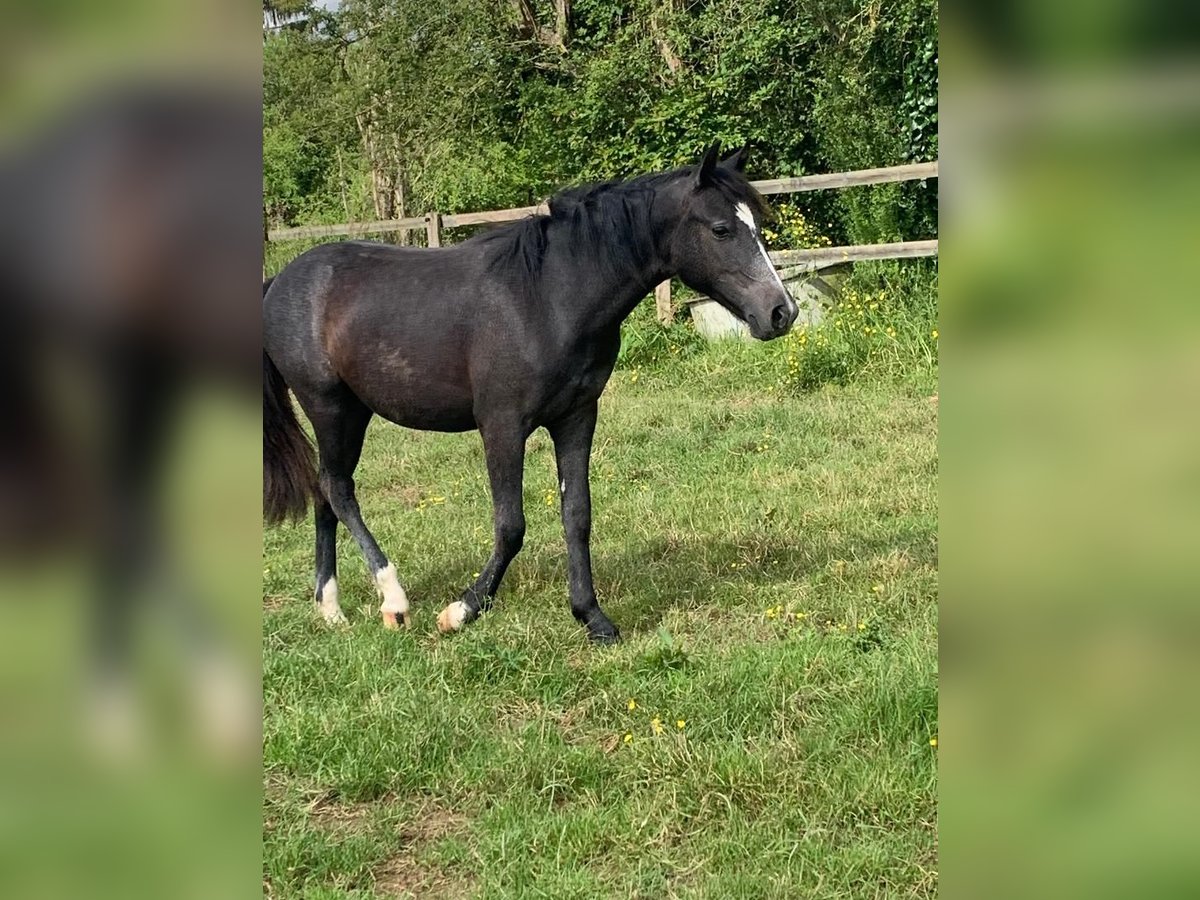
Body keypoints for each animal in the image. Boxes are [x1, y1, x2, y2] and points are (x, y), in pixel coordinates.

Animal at [262, 142, 796, 643]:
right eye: (721, 229)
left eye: (758, 225)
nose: (781, 311)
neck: (549, 296)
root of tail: (280, 281)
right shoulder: (502, 425)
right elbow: (511, 524)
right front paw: (462, 610)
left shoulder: (577, 417)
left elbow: (577, 514)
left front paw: (592, 617)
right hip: (328, 405)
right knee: (338, 489)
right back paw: (393, 600)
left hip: (353, 411)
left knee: (327, 492)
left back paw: (331, 609)